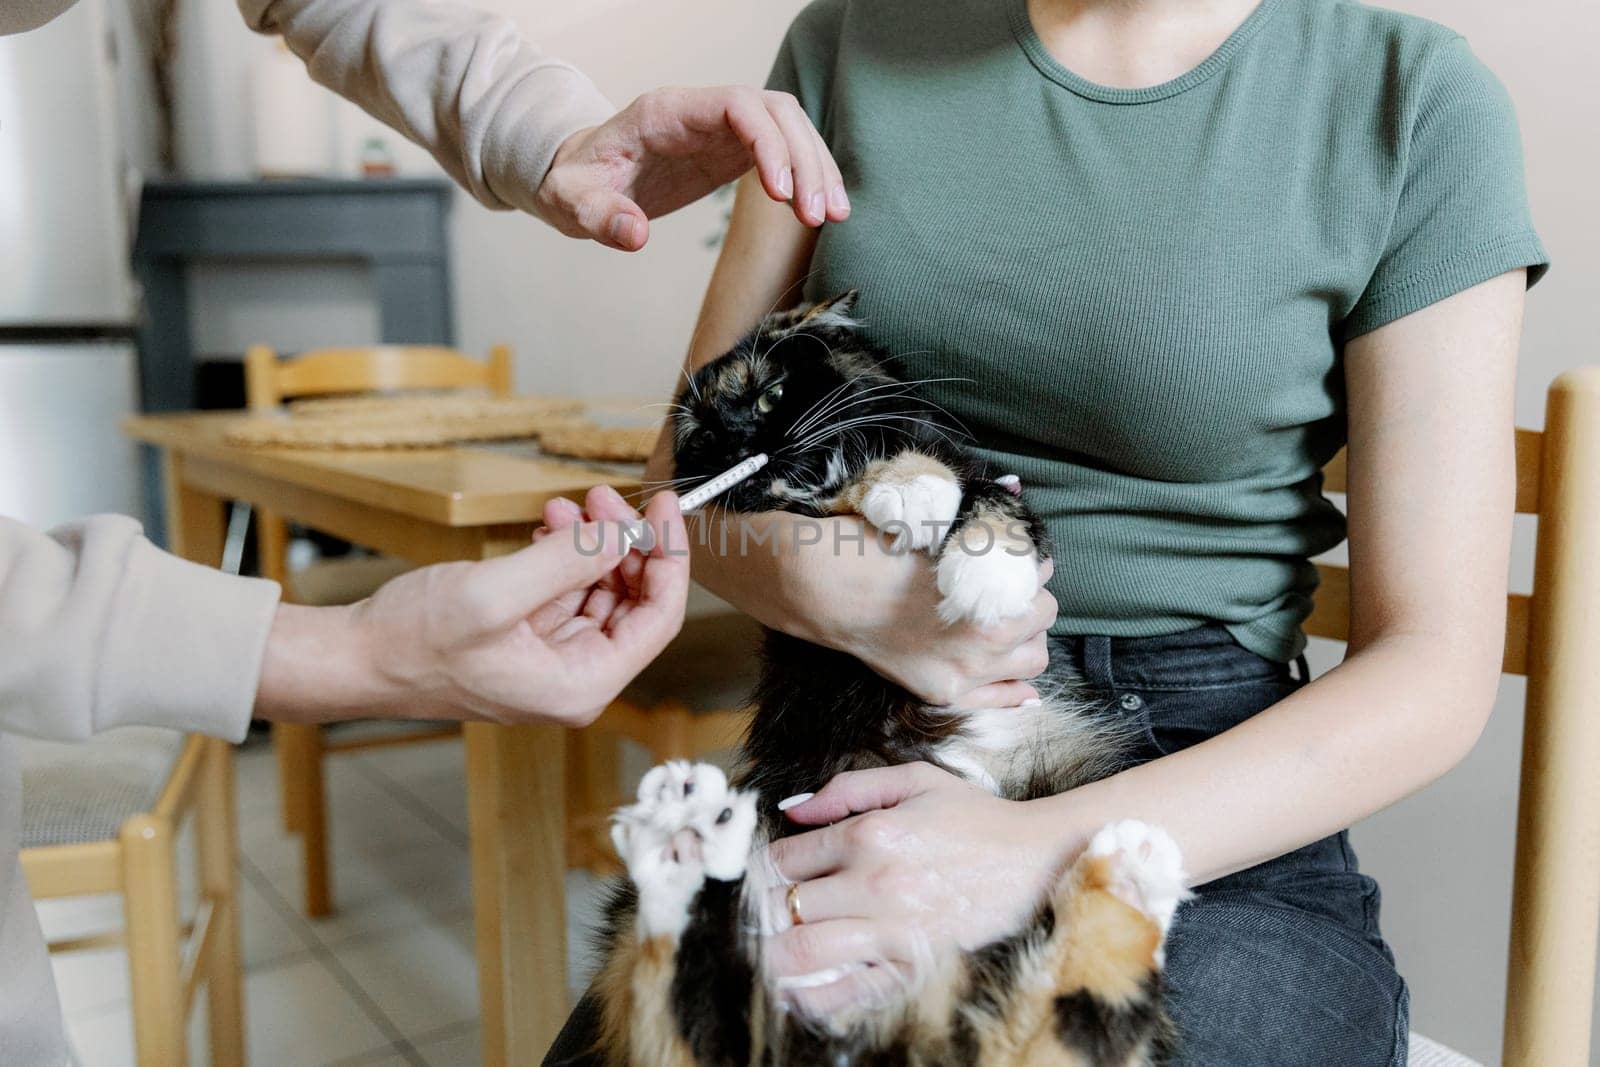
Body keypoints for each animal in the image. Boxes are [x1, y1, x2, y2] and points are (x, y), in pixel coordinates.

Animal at [592, 294, 1190, 1067]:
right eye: (704, 436)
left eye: (770, 394)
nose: (740, 444)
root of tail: (856, 1036)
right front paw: (913, 499)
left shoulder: (975, 472)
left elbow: (982, 495)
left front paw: (979, 569)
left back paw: (1135, 861)